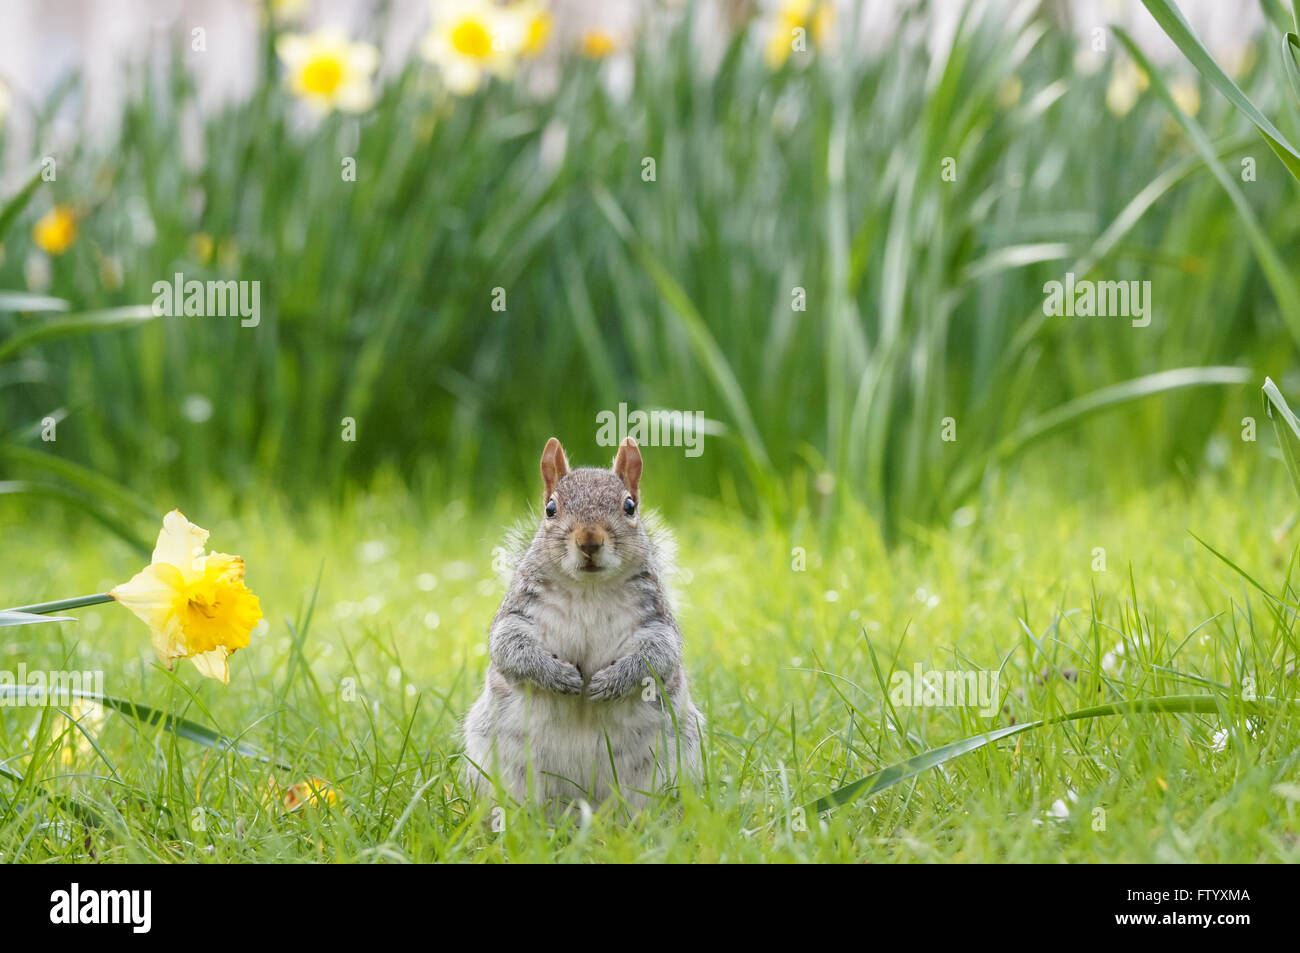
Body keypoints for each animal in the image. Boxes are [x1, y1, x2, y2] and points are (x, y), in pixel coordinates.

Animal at [464, 435, 702, 814]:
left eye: (630, 506)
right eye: (550, 508)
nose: (589, 541)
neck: (589, 588)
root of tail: (582, 800)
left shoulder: (656, 619)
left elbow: (660, 654)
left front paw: (611, 681)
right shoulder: (518, 613)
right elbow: (508, 648)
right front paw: (558, 676)